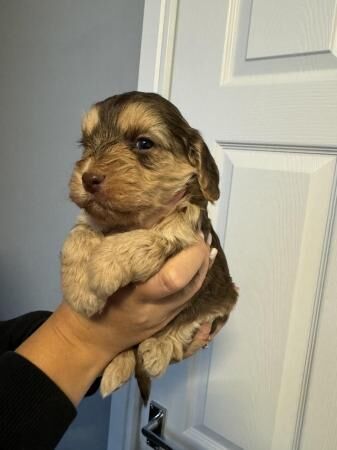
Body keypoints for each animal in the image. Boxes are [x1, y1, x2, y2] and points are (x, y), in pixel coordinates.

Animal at [61, 92, 238, 400]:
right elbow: (79, 234)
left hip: (224, 298)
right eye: (85, 144)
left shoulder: (187, 227)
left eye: (143, 143)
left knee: (189, 321)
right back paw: (118, 367)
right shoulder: (91, 220)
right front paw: (79, 290)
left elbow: (152, 235)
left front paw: (103, 268)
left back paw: (157, 349)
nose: (88, 178)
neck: (129, 220)